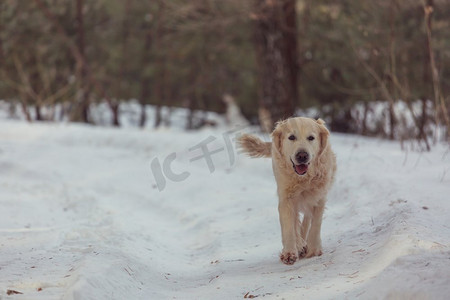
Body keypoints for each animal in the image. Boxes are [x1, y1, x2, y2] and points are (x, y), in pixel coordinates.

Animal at [237, 117, 336, 264]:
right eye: (292, 137)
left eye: (311, 138)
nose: (302, 156)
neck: (303, 178)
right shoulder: (286, 199)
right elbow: (289, 226)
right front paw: (290, 252)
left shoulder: (319, 197)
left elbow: (315, 223)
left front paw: (314, 248)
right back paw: (300, 245)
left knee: (307, 219)